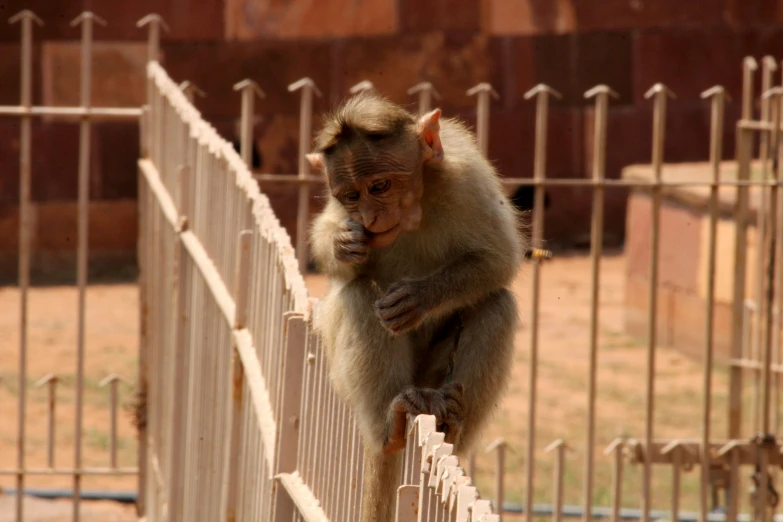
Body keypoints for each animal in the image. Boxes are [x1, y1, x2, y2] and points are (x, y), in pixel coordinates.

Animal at [308, 90, 528, 520]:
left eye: (379, 186)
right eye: (351, 196)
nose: (371, 217)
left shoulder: (466, 178)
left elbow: (498, 259)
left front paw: (420, 297)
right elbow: (336, 257)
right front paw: (342, 243)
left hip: (433, 376)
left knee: (496, 303)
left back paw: (451, 427)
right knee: (360, 294)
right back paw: (389, 427)